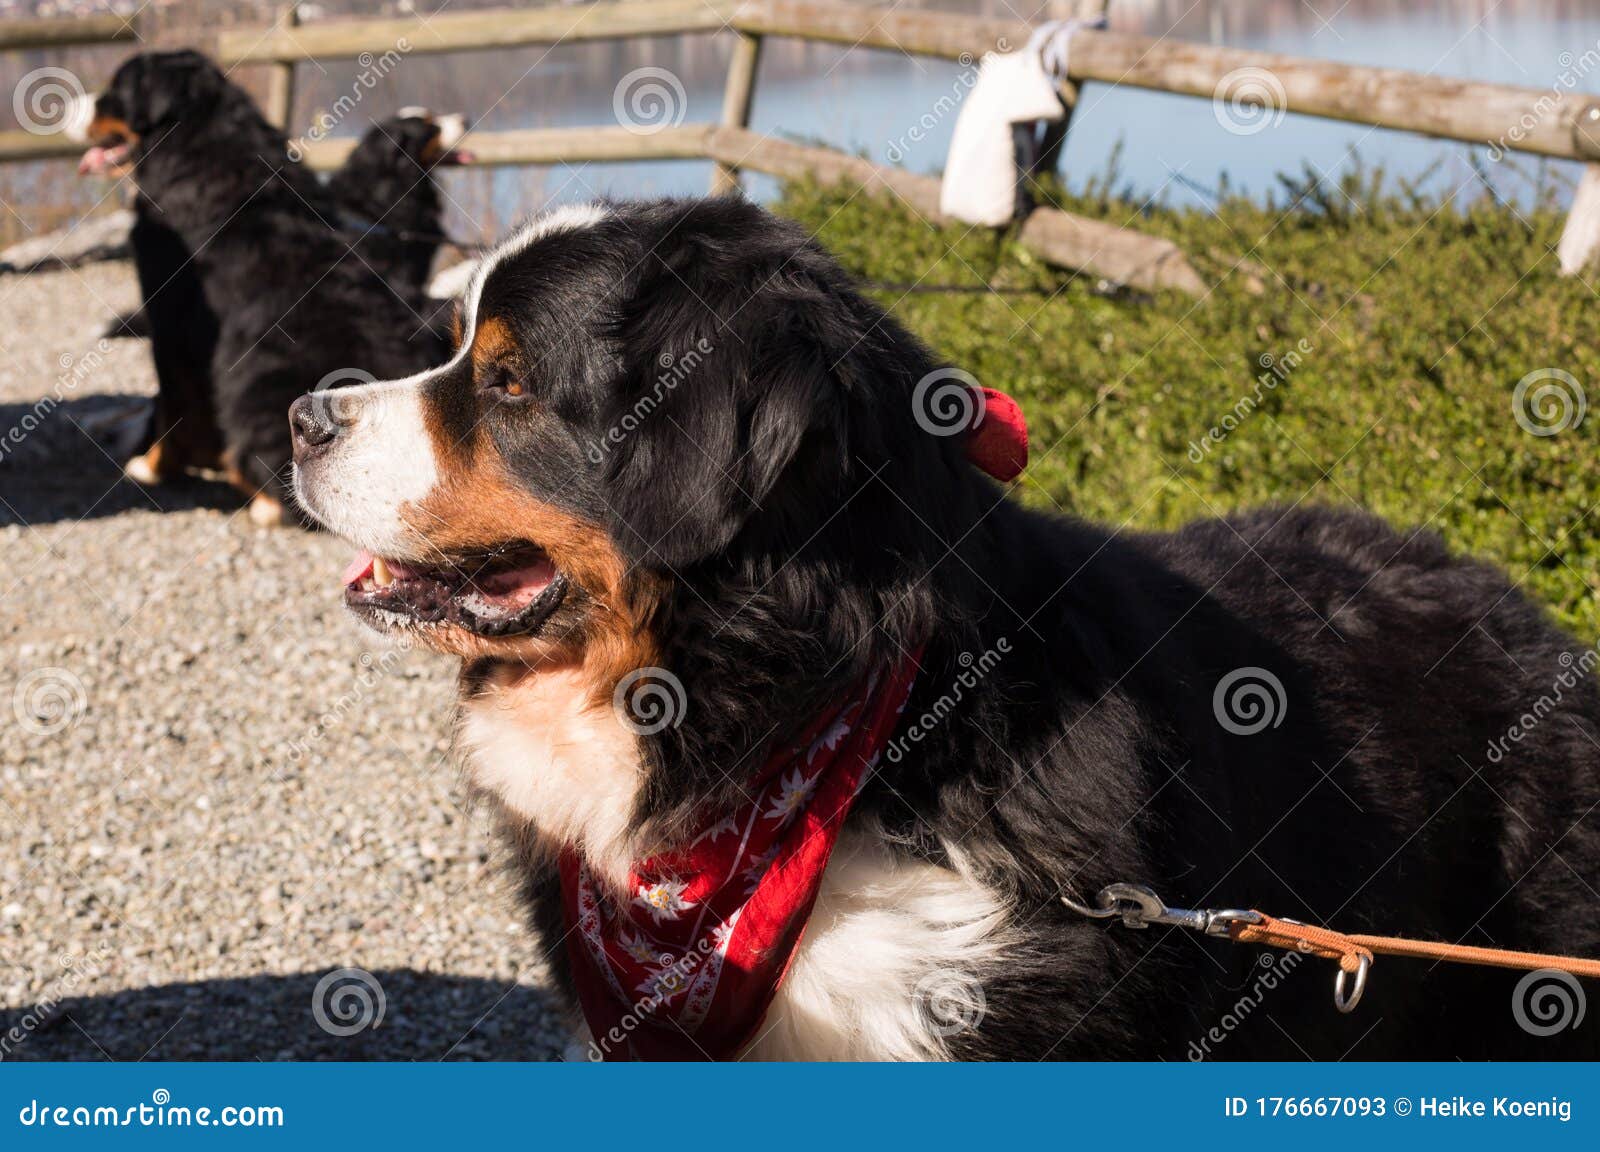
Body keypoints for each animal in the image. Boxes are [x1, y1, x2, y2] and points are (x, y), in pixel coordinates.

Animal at [79, 50, 444, 521]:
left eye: (115, 91)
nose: (81, 105)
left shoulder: (171, 325)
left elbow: (171, 406)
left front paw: (153, 465)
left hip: (257, 378)